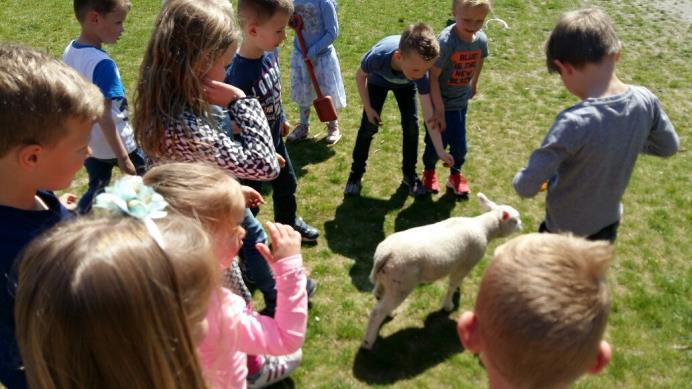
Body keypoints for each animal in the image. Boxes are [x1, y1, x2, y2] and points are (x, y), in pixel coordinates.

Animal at [362, 193, 520, 348]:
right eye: (515, 220)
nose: (521, 225)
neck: (483, 227)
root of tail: (385, 254)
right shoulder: (466, 264)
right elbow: (452, 284)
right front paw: (448, 305)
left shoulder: (459, 264)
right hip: (401, 282)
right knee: (376, 312)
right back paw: (368, 342)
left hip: (387, 278)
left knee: (378, 294)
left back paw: (388, 313)